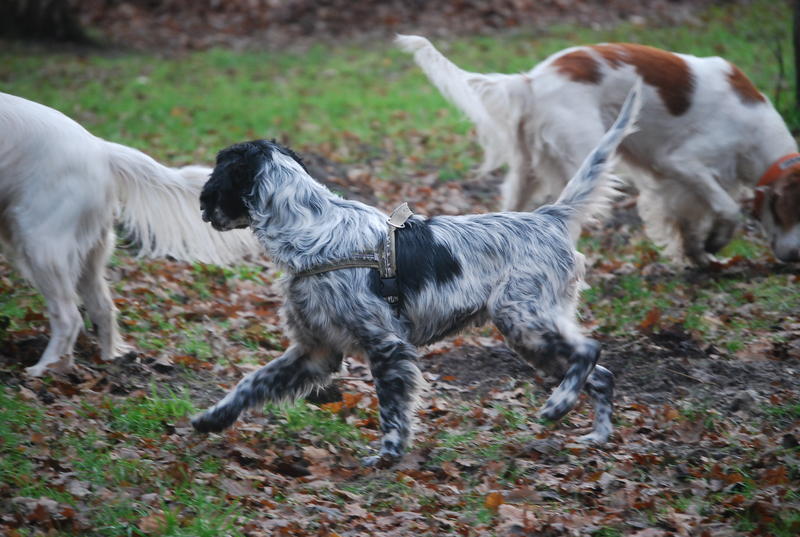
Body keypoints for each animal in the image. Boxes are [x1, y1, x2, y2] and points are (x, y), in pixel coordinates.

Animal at [0, 92, 258, 374]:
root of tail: (100, 149)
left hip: (41, 245)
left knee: (69, 317)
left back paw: (44, 369)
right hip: (82, 254)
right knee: (102, 309)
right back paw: (106, 360)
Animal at [192, 80, 644, 464]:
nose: (203, 209)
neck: (311, 229)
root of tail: (549, 216)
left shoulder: (387, 346)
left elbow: (392, 411)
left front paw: (387, 455)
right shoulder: (315, 351)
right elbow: (251, 383)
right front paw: (212, 418)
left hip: (522, 319)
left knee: (589, 351)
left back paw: (559, 405)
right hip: (532, 332)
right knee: (602, 375)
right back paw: (597, 435)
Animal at [398, 35, 800, 266]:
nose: (793, 258)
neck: (754, 128)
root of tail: (532, 80)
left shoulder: (678, 183)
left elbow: (688, 220)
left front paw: (697, 255)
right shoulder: (681, 162)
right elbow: (728, 207)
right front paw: (715, 242)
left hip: (527, 172)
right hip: (584, 158)